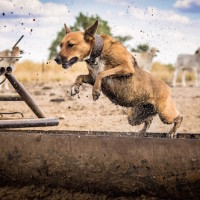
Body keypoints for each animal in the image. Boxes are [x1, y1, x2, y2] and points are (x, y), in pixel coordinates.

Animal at [54, 19, 183, 138]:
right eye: (60, 45)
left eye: (71, 45)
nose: (56, 59)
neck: (98, 52)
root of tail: (166, 86)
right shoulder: (92, 77)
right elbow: (80, 76)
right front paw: (75, 88)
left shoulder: (126, 67)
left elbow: (103, 73)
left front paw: (95, 92)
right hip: (134, 117)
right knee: (149, 120)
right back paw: (142, 132)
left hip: (165, 114)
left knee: (179, 117)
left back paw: (172, 132)